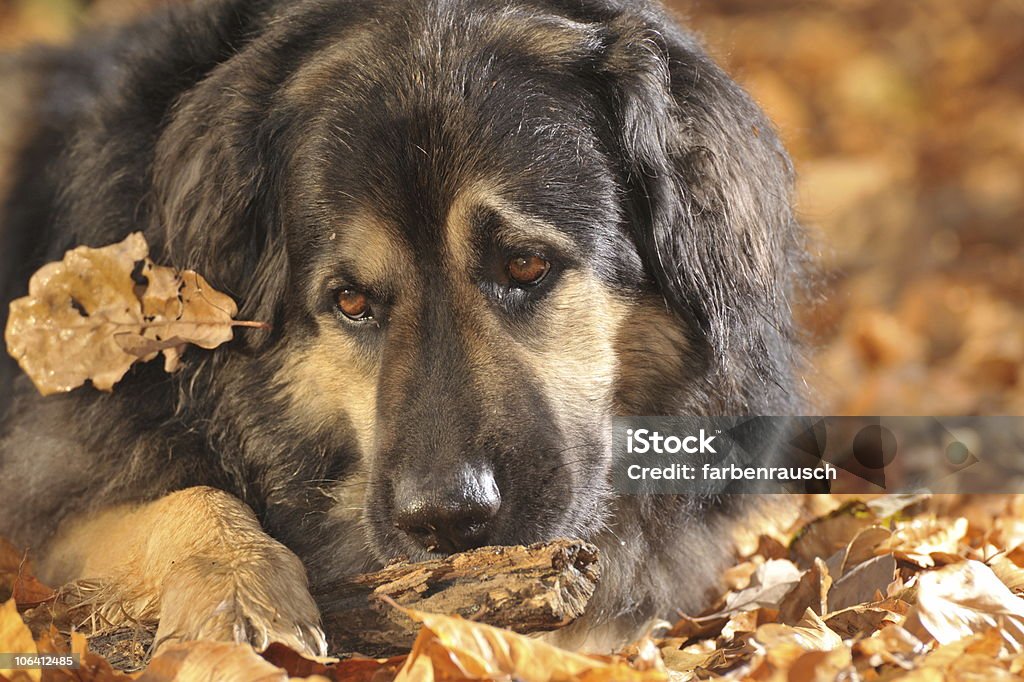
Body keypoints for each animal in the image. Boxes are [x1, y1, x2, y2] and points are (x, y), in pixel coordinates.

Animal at [0, 0, 798, 655]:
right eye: (352, 302)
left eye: (527, 264)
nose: (446, 519)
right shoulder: (49, 474)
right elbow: (183, 498)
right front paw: (238, 583)